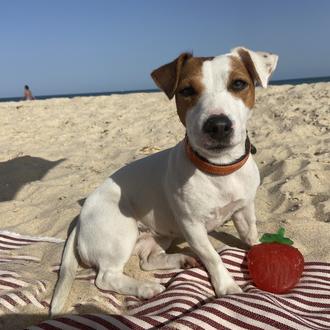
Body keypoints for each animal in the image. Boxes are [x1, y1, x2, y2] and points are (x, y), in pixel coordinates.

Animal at [51, 46, 278, 314]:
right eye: (187, 90)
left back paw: (180, 260)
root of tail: (80, 219)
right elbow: (213, 256)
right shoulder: (193, 227)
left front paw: (263, 252)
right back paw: (145, 288)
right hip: (120, 231)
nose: (218, 125)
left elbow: (250, 235)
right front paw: (227, 286)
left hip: (160, 235)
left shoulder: (244, 209)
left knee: (148, 261)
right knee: (106, 277)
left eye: (239, 84)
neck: (219, 168)